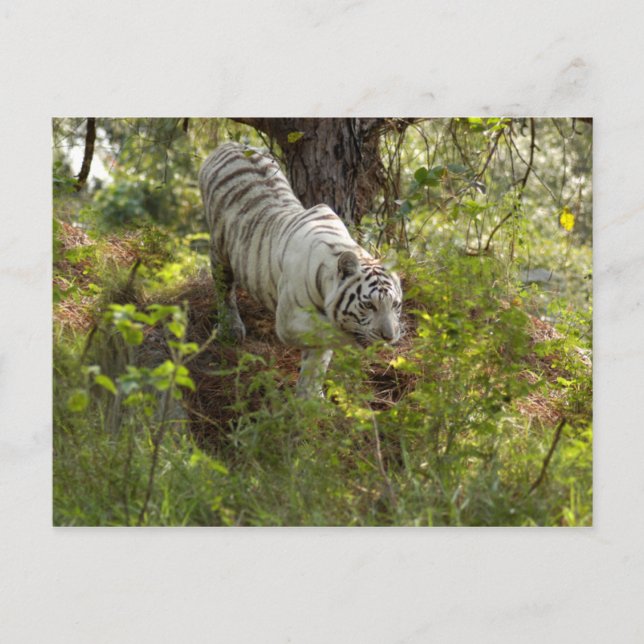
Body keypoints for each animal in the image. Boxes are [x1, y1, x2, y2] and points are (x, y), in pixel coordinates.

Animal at [198, 141, 403, 397]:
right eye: (369, 305)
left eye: (395, 305)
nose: (389, 337)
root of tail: (229, 144)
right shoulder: (289, 319)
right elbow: (330, 333)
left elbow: (317, 359)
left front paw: (310, 397)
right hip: (220, 248)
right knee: (224, 287)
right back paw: (231, 328)